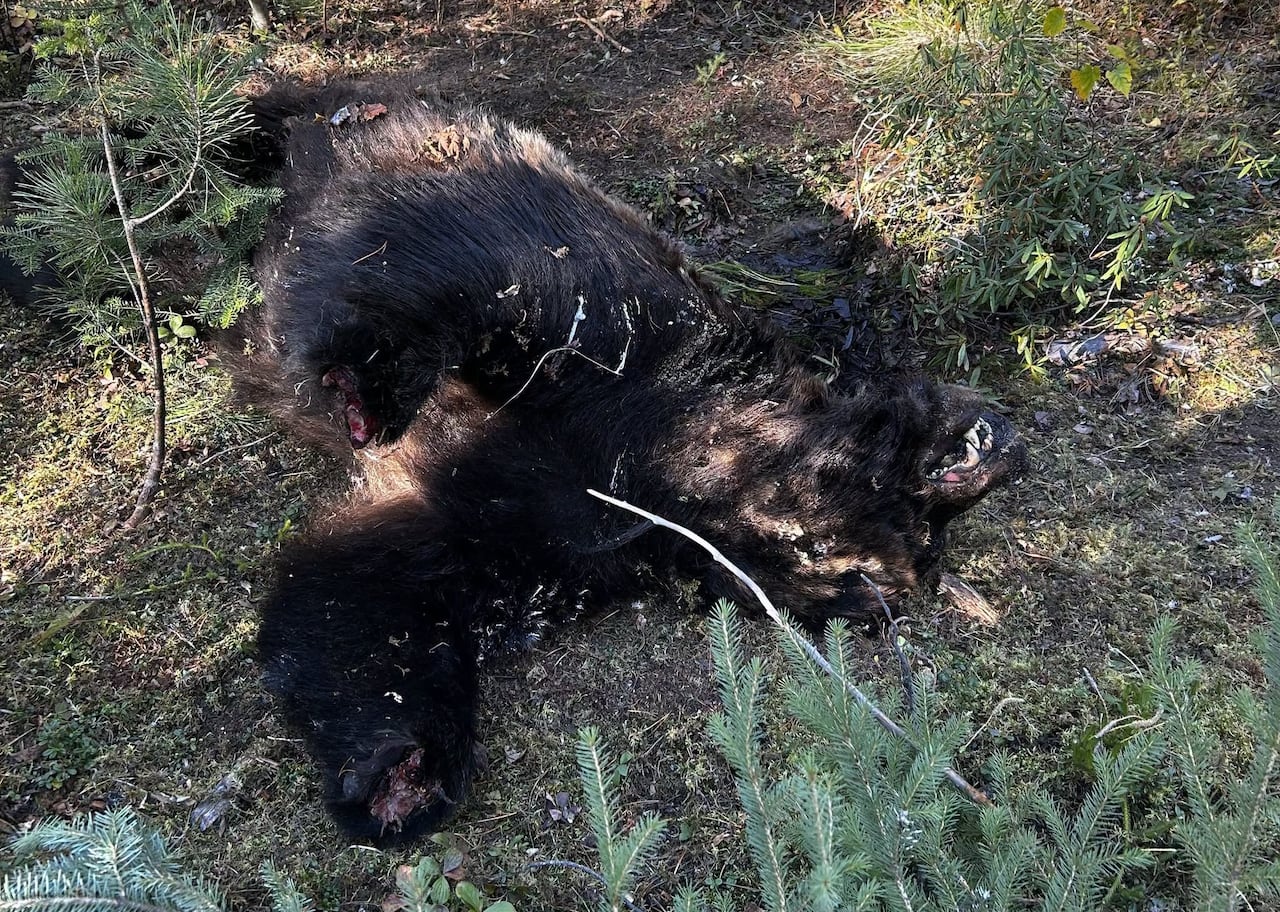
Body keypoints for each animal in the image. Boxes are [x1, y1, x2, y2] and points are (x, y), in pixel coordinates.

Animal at [228, 79, 1028, 843]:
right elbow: (459, 263)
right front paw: (358, 386)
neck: (684, 469)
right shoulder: (605, 338)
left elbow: (364, 599)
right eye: (924, 525)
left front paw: (401, 775)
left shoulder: (532, 538)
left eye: (909, 560)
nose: (1002, 442)